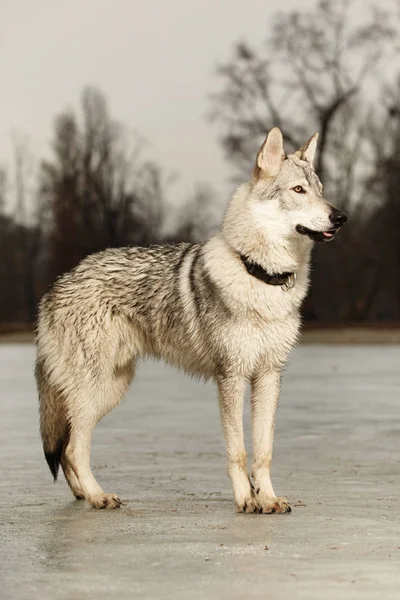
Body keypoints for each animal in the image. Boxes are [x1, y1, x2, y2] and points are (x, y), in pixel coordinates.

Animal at [35, 126, 346, 510]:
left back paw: (83, 494)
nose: (340, 217)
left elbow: (264, 451)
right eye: (298, 190)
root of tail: (55, 286)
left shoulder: (269, 376)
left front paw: (269, 499)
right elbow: (239, 451)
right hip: (94, 391)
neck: (260, 274)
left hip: (109, 390)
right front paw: (247, 501)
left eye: (321, 190)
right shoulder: (231, 377)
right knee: (75, 448)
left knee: (66, 447)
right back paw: (98, 496)